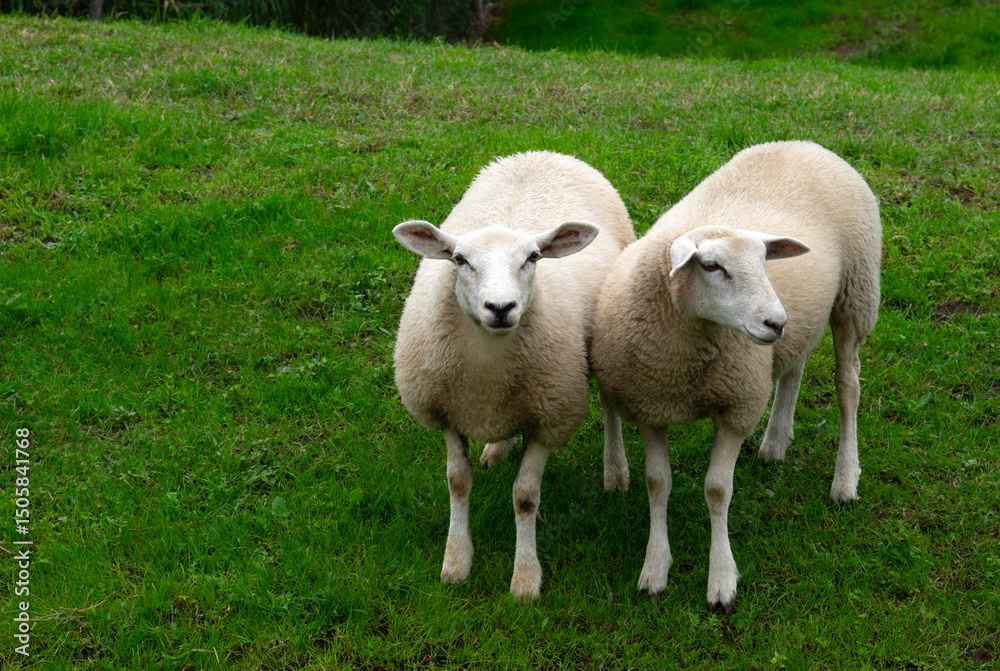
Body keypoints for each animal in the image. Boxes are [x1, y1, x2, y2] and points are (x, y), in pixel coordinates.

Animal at [392, 150, 635, 602]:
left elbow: (524, 497)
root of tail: (542, 153)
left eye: (532, 258)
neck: (488, 365)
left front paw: (525, 578)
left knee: (610, 405)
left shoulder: (549, 419)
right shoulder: (448, 414)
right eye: (460, 260)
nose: (501, 307)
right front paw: (456, 561)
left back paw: (615, 470)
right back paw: (498, 448)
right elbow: (457, 482)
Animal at [591, 141, 881, 612]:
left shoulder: (737, 408)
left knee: (848, 387)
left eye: (765, 261)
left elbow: (716, 490)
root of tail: (805, 143)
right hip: (806, 321)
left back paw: (844, 478)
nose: (775, 321)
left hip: (856, 295)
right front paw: (655, 568)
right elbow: (658, 483)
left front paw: (721, 579)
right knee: (794, 366)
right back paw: (776, 441)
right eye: (711, 266)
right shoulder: (650, 406)